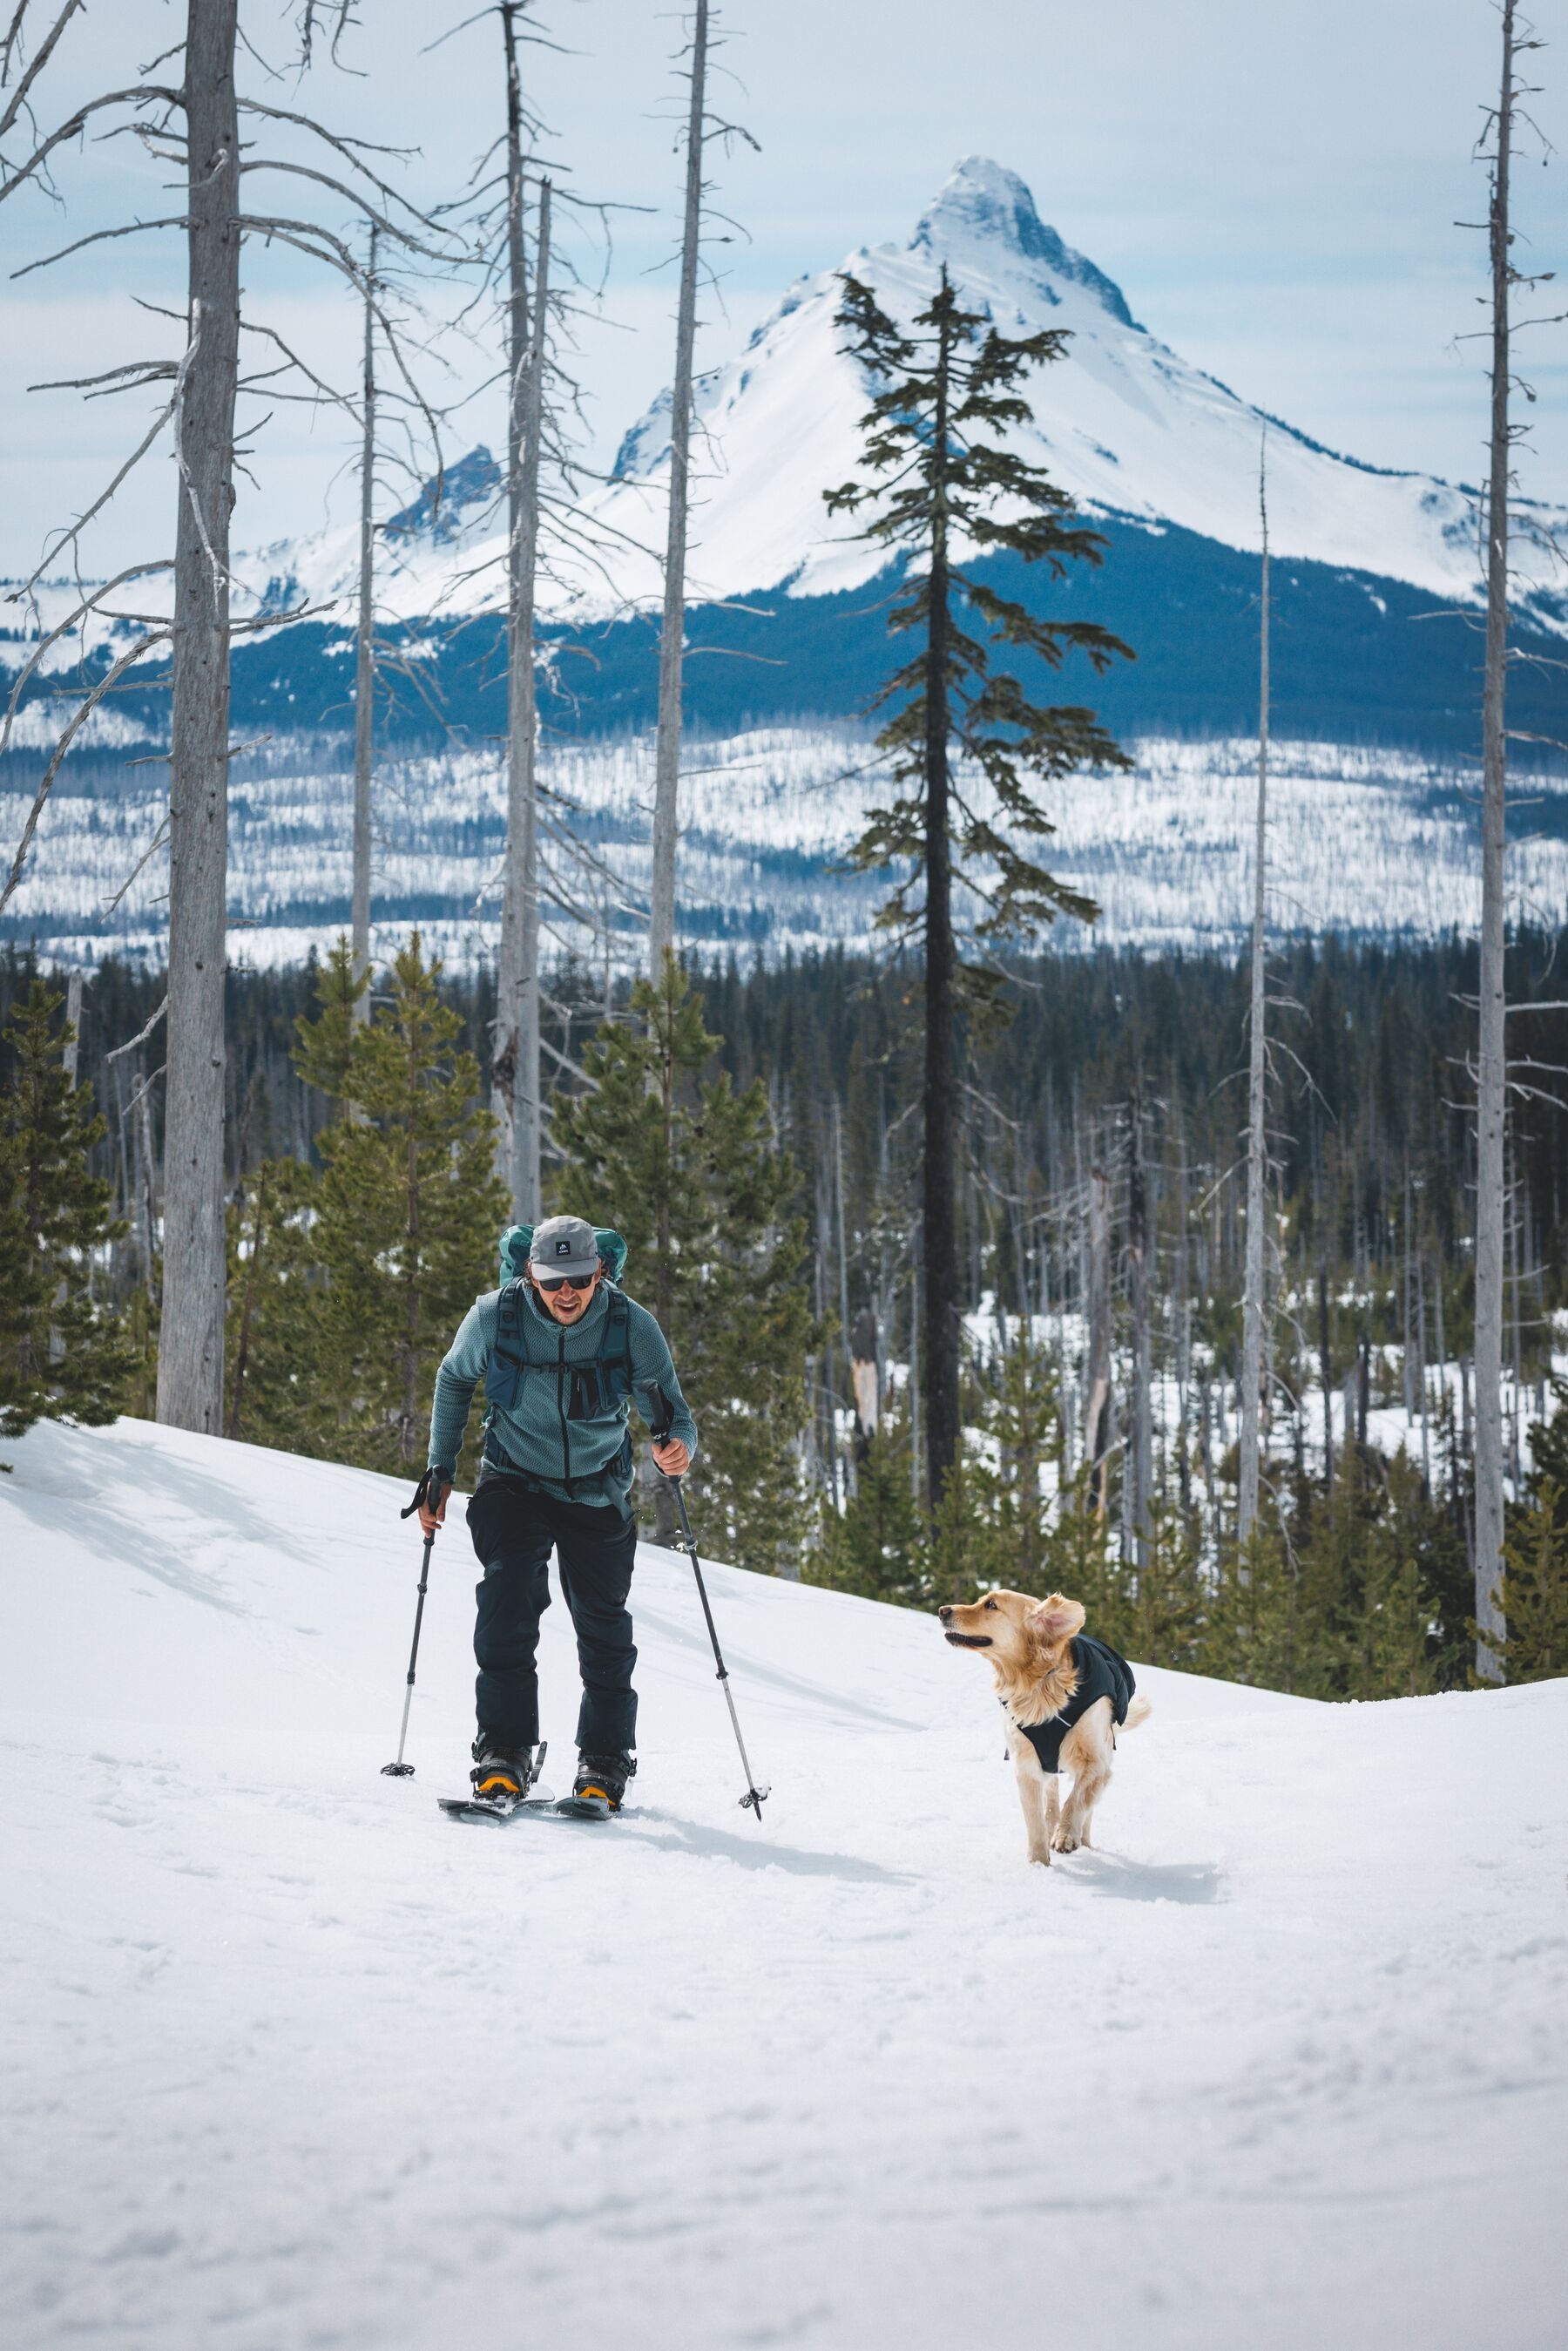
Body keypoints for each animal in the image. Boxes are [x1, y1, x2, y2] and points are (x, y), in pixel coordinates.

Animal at [944, 1589, 1152, 1861]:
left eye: (990, 1605)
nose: (943, 1611)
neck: (1037, 1684)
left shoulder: (1096, 1763)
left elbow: (1077, 1800)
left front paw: (1066, 1836)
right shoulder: (1026, 1766)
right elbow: (1035, 1821)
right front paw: (1038, 1864)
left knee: (1086, 1810)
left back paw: (1083, 1841)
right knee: (1052, 1797)